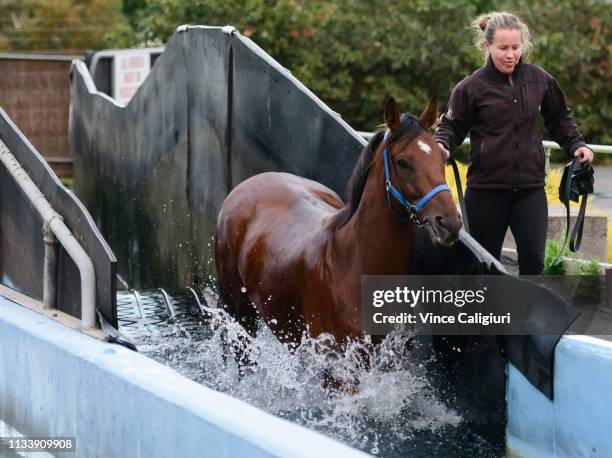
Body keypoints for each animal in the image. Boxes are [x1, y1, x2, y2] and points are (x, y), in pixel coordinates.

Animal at [215, 96, 460, 348]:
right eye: (403, 162)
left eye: (442, 158)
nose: (449, 222)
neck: (352, 264)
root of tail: (249, 184)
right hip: (239, 311)